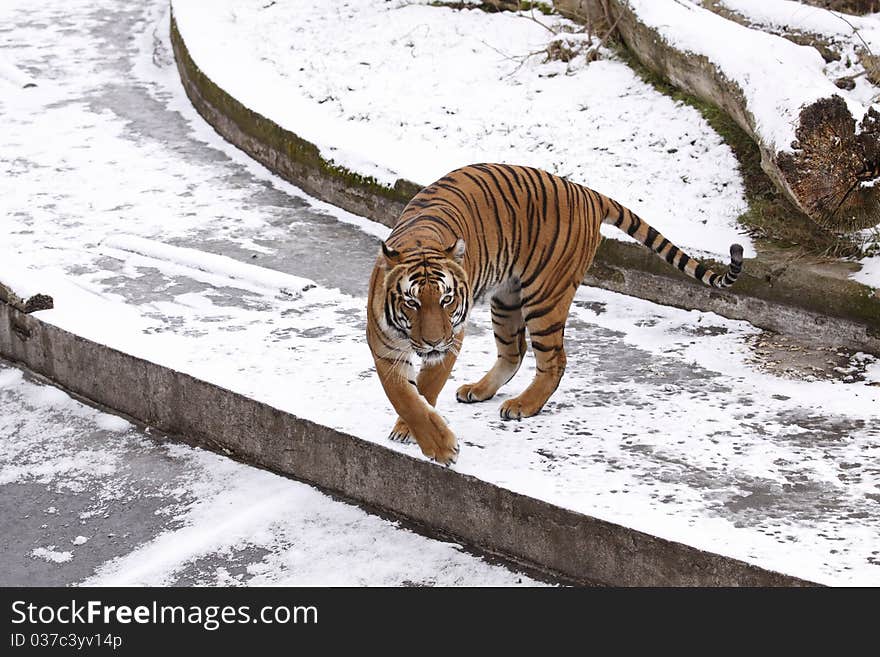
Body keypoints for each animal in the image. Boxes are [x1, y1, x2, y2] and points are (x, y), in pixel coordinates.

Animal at [364, 161, 744, 464]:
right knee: (514, 352)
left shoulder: (452, 338)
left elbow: (425, 388)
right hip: (507, 297)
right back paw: (480, 390)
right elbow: (405, 397)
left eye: (446, 300)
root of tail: (586, 192)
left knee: (554, 360)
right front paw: (421, 431)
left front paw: (434, 443)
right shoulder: (384, 347)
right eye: (412, 302)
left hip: (544, 296)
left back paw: (523, 405)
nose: (433, 342)